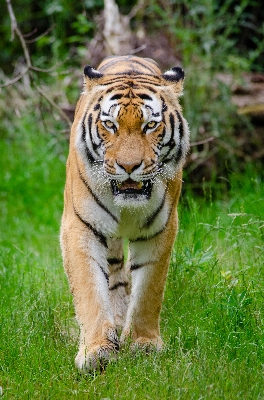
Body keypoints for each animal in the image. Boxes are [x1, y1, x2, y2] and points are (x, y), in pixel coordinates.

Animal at [60, 55, 190, 372]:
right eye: (110, 124)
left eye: (151, 125)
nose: (129, 166)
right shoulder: (80, 227)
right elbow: (90, 289)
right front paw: (97, 351)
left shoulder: (161, 229)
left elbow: (148, 290)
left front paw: (143, 344)